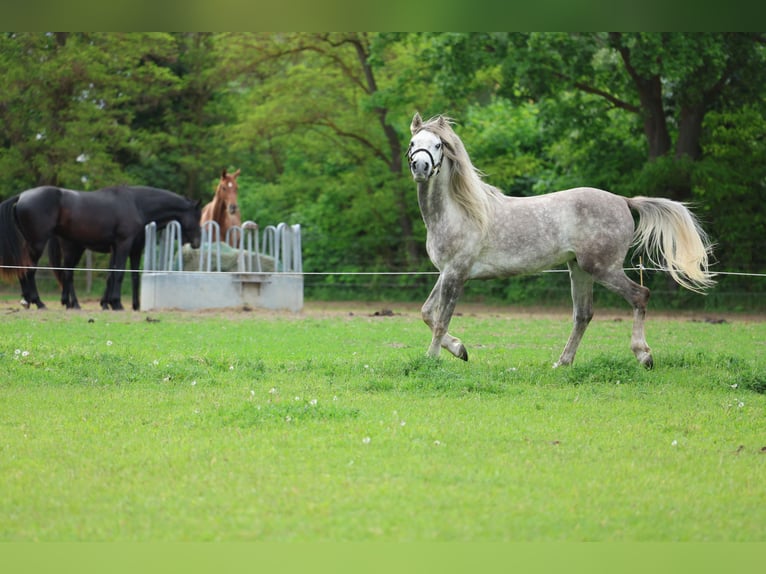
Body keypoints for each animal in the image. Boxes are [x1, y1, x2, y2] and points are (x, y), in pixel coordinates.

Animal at [0, 185, 201, 310]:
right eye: (197, 215)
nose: (197, 242)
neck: (136, 204)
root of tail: (22, 196)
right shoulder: (123, 245)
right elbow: (119, 274)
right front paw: (116, 303)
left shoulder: (123, 248)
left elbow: (118, 275)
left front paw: (115, 303)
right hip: (39, 244)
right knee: (30, 271)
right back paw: (39, 302)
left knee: (56, 273)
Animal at [407, 113, 715, 368]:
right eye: (412, 143)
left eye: (438, 145)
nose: (421, 167)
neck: (459, 211)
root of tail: (623, 201)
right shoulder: (446, 272)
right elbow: (426, 312)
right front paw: (460, 349)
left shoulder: (457, 274)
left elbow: (441, 320)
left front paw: (432, 358)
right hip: (579, 269)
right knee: (583, 314)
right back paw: (563, 363)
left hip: (603, 269)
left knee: (640, 295)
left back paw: (644, 356)